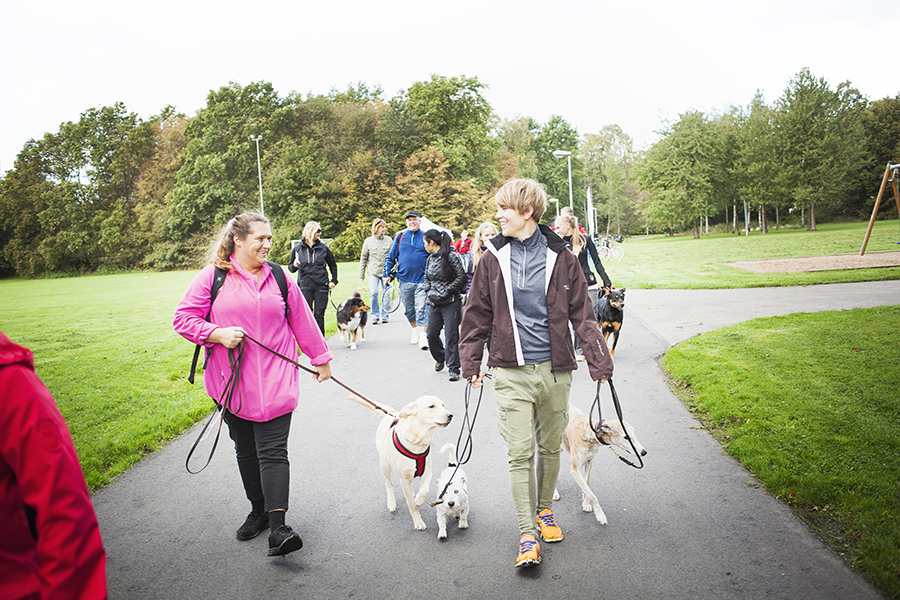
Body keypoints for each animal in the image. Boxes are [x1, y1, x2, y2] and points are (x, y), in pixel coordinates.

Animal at [348, 398, 454, 528]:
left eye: (443, 405)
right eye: (431, 406)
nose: (450, 415)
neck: (417, 442)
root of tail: (392, 413)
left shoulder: (427, 473)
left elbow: (425, 490)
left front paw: (419, 500)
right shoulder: (404, 478)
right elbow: (412, 505)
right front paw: (418, 521)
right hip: (384, 464)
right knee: (388, 483)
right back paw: (391, 502)